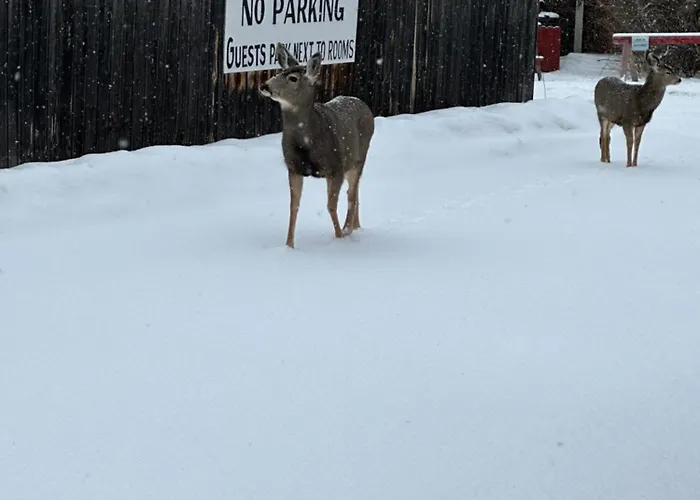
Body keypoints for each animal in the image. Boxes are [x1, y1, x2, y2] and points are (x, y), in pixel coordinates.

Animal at [259, 43, 375, 249]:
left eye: (293, 78)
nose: (265, 85)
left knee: (351, 194)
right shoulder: (293, 168)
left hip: (359, 157)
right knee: (355, 191)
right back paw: (356, 226)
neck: (307, 144)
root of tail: (363, 105)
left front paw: (339, 237)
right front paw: (289, 245)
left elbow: (330, 205)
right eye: (280, 71)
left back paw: (348, 229)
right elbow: (293, 206)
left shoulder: (335, 167)